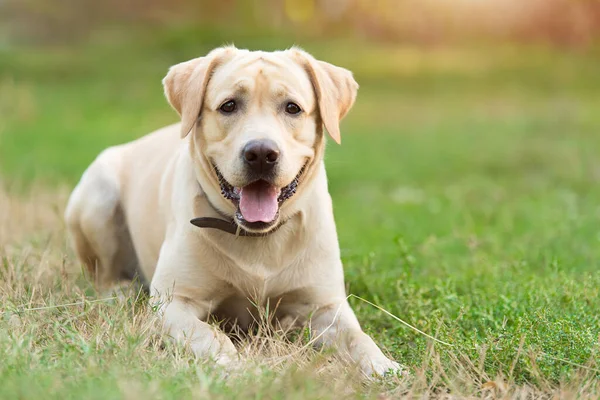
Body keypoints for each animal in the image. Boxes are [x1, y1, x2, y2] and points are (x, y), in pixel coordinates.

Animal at [64, 45, 404, 376]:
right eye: (228, 106)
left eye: (293, 108)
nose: (261, 153)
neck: (257, 236)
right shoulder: (173, 302)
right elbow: (209, 335)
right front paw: (236, 366)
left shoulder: (326, 306)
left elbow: (357, 336)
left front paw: (383, 365)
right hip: (98, 193)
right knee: (102, 274)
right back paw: (119, 292)